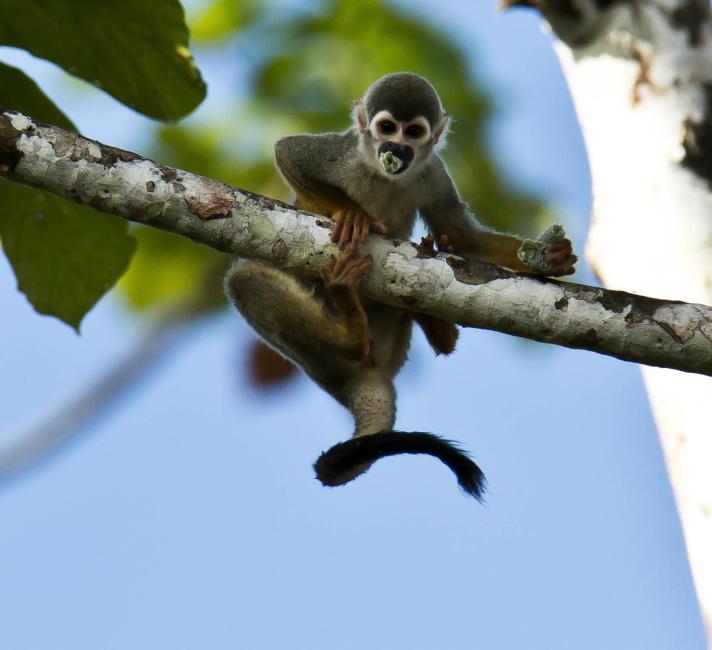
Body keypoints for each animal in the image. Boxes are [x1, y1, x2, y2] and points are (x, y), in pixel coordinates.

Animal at [225, 73, 576, 496]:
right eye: (387, 128)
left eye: (413, 132)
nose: (395, 148)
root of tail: (358, 382)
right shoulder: (345, 153)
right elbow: (288, 152)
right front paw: (352, 213)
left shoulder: (434, 173)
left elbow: (463, 236)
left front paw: (550, 257)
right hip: (327, 362)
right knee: (244, 279)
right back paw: (350, 332)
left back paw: (437, 329)